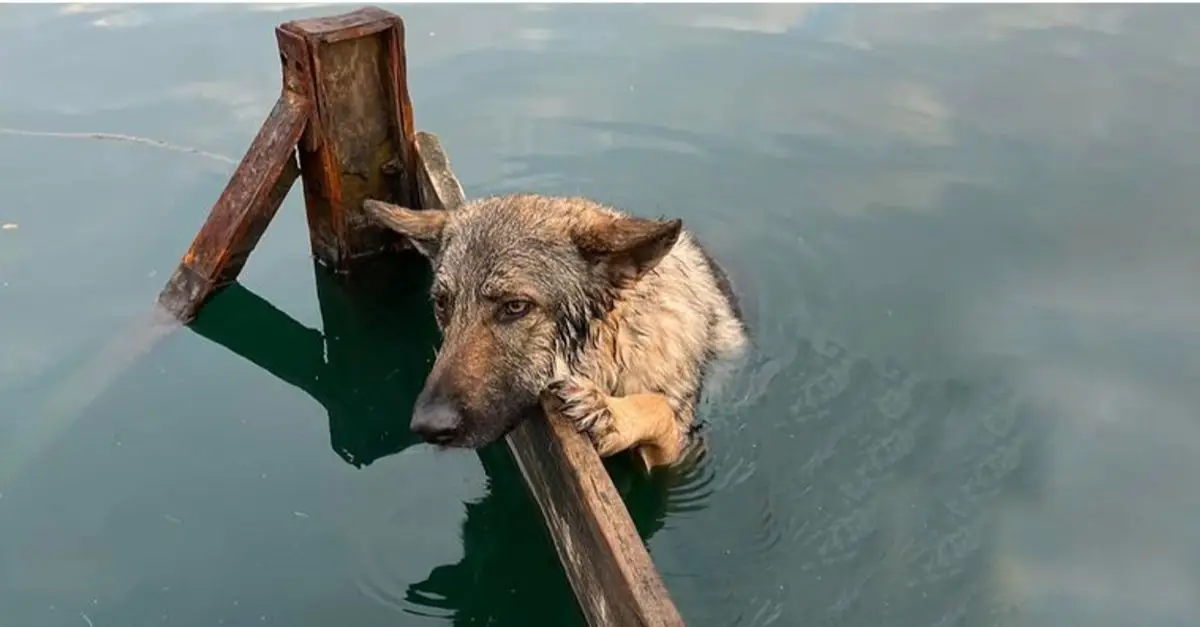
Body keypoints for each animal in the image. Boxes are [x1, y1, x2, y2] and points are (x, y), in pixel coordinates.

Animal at [372, 192, 748, 466]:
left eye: (515, 307)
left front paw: (610, 413)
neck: (613, 347)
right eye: (442, 304)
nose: (428, 427)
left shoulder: (680, 456)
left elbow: (659, 409)